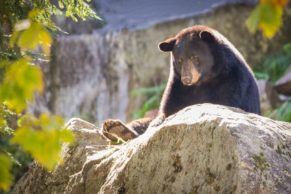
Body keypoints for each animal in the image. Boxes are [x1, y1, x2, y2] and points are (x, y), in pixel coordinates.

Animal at [101, 25, 262, 141]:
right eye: (179, 60)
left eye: (195, 57)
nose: (187, 79)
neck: (203, 81)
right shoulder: (176, 86)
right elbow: (168, 109)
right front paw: (157, 122)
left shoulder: (232, 80)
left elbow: (225, 102)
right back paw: (115, 127)